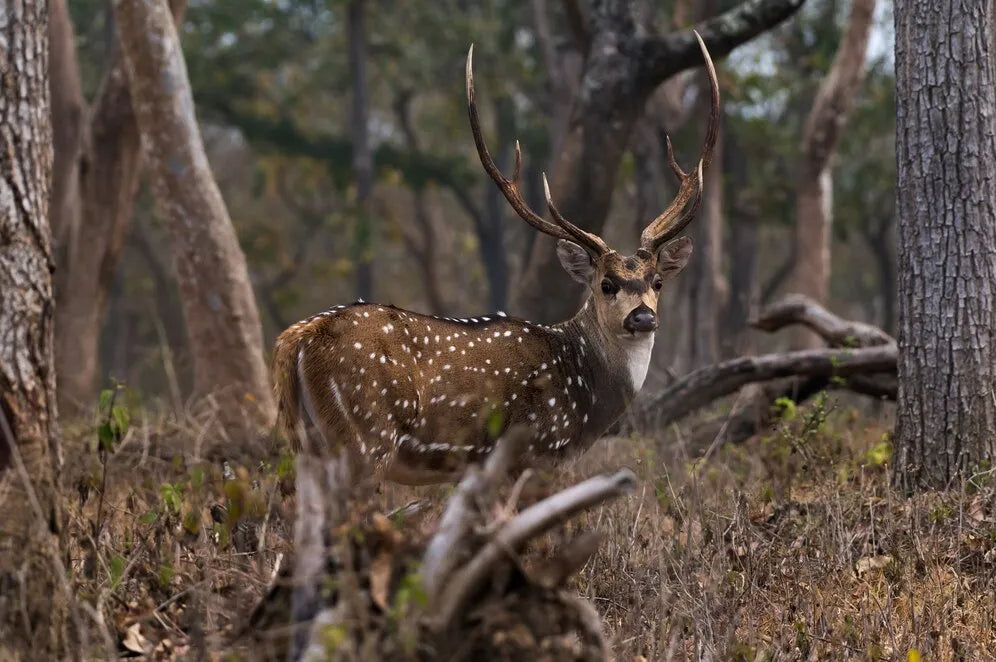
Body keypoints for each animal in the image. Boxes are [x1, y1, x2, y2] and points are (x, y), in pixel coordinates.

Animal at [273, 33, 719, 485]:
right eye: (606, 284)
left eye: (657, 281)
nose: (643, 317)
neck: (585, 402)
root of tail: (297, 338)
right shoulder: (536, 451)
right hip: (365, 435)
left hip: (309, 442)